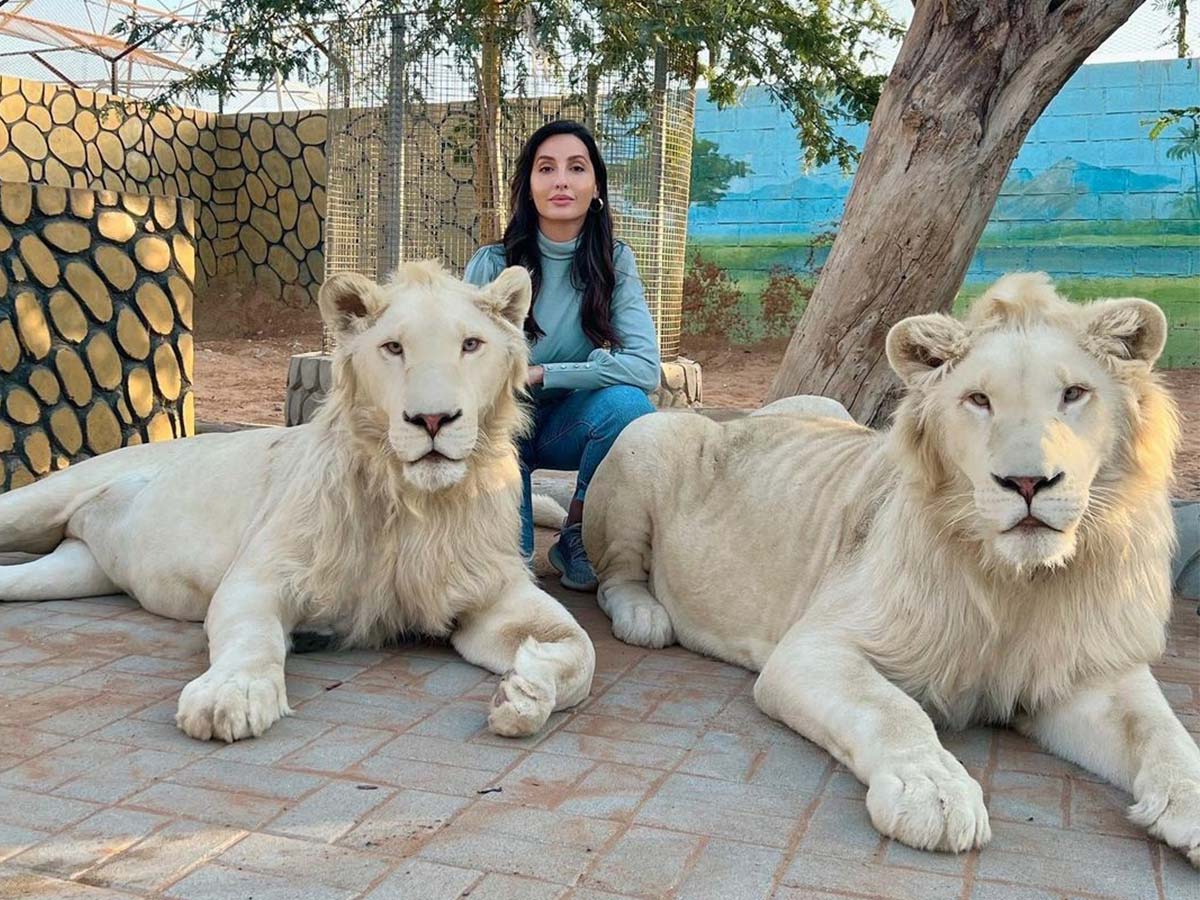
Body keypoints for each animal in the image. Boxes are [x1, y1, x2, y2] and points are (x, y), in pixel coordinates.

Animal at [0, 262, 595, 748]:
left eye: (471, 345)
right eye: (393, 348)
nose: (432, 420)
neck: (413, 505)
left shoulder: (492, 594)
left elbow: (581, 651)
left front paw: (524, 692)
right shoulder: (258, 577)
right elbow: (253, 638)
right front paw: (231, 697)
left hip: (73, 570)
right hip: (35, 504)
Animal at [583, 273, 1200, 868]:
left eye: (1074, 394)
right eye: (979, 399)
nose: (1027, 483)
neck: (1017, 584)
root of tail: (732, 418)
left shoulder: (1090, 671)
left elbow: (1161, 728)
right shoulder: (814, 647)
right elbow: (893, 711)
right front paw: (935, 793)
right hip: (644, 438)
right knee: (614, 574)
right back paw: (645, 618)